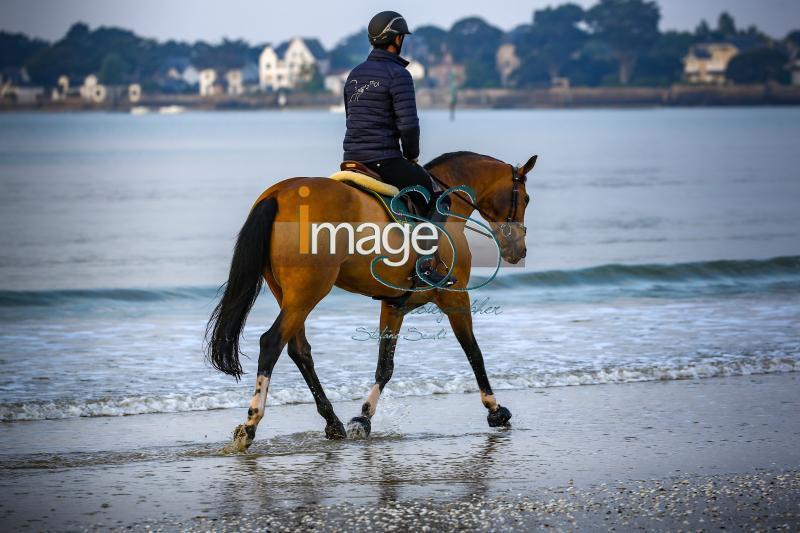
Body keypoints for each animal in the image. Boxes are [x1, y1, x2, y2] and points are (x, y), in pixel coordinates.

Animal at [205, 149, 536, 448]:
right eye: (526, 199)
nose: (518, 250)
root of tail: (277, 193)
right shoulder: (455, 298)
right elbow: (474, 352)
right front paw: (495, 409)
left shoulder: (394, 304)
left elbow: (385, 366)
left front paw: (362, 418)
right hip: (307, 293)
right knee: (272, 342)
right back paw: (251, 423)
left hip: (288, 295)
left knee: (299, 351)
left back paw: (333, 422)